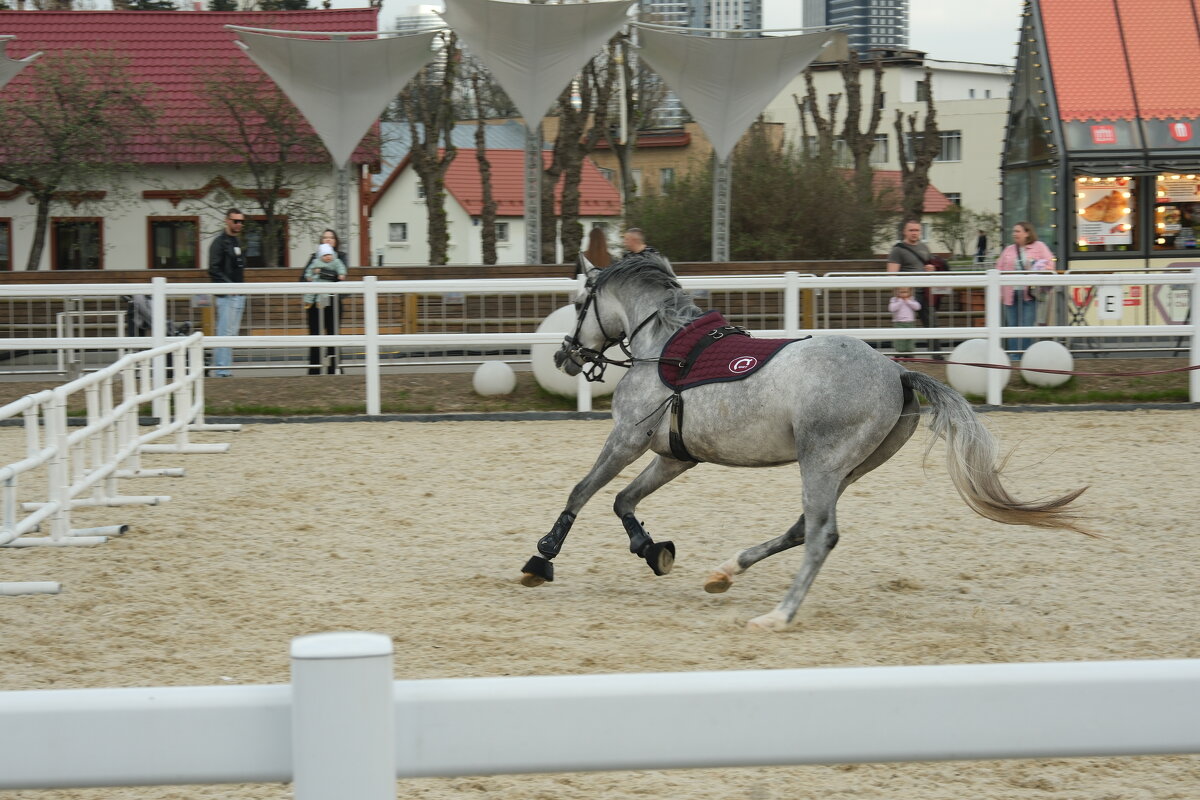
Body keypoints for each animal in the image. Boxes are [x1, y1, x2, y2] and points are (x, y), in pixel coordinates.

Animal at [516, 256, 1089, 633]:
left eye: (577, 304)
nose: (566, 357)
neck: (663, 348)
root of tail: (896, 372)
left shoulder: (628, 438)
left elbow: (583, 491)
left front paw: (541, 559)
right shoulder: (674, 455)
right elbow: (623, 499)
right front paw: (652, 550)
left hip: (821, 462)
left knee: (820, 536)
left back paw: (777, 615)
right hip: (845, 469)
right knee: (801, 528)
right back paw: (724, 574)